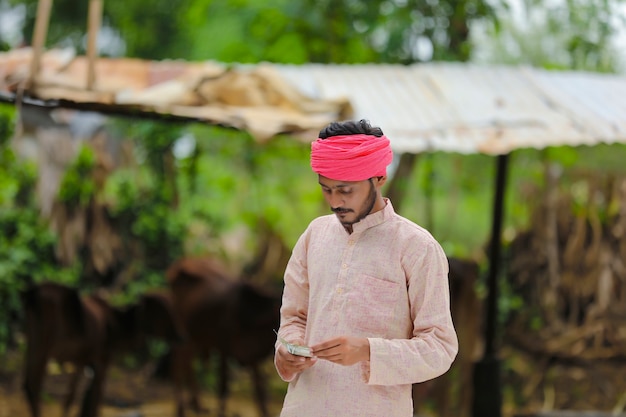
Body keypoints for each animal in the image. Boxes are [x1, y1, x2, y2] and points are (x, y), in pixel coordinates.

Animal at [20, 280, 182, 416]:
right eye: (162, 313)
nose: (180, 337)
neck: (116, 325)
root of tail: (33, 293)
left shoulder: (82, 362)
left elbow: (74, 398)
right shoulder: (102, 361)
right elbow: (94, 399)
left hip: (32, 344)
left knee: (28, 386)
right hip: (43, 347)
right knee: (34, 386)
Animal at [166, 255, 282, 416]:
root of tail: (179, 265)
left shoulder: (252, 356)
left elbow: (260, 391)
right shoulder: (224, 349)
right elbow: (223, 387)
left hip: (198, 338)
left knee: (188, 365)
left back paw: (197, 405)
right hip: (184, 333)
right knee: (178, 364)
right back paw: (180, 409)